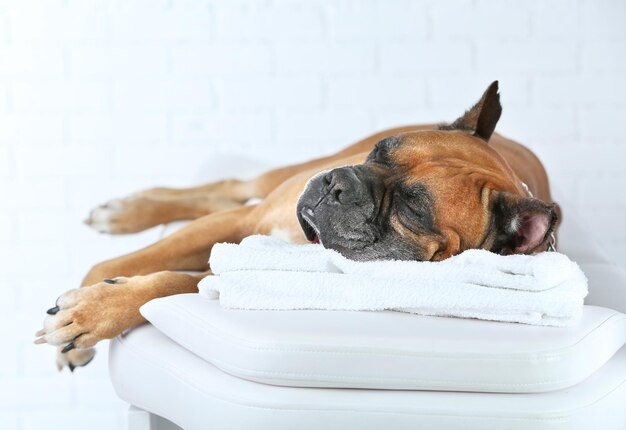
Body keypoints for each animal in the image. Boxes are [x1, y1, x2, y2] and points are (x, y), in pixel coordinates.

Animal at [36, 82, 560, 372]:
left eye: (413, 207)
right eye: (380, 152)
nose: (338, 183)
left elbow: (167, 281)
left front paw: (94, 312)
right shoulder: (245, 220)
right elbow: (134, 261)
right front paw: (88, 300)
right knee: (232, 186)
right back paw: (126, 212)